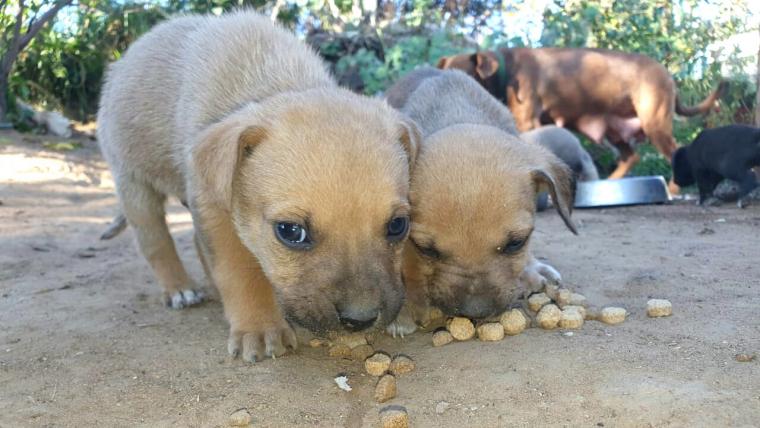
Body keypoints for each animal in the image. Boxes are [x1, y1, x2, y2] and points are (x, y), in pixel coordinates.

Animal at [95, 11, 418, 362]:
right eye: (290, 232)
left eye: (398, 225)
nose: (360, 320)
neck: (275, 76)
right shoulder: (214, 207)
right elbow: (239, 270)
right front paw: (260, 328)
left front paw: (402, 315)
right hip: (133, 183)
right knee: (154, 240)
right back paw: (179, 288)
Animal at [386, 67, 576, 334]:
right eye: (427, 249)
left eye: (516, 243)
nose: (475, 313)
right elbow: (407, 266)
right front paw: (404, 312)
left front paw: (530, 268)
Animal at [436, 48, 728, 186]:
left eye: (462, 72)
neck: (507, 71)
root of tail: (667, 73)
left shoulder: (526, 121)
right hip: (614, 131)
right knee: (631, 156)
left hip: (654, 122)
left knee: (676, 153)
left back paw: (675, 190)